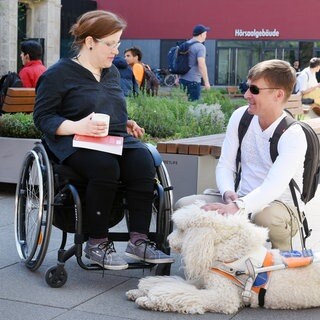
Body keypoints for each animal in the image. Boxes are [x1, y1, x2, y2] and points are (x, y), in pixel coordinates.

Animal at [126, 204, 318, 314]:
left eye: (181, 230)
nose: (168, 240)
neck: (227, 252)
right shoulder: (203, 281)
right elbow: (169, 283)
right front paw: (139, 291)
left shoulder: (223, 297)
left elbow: (180, 293)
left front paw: (148, 299)